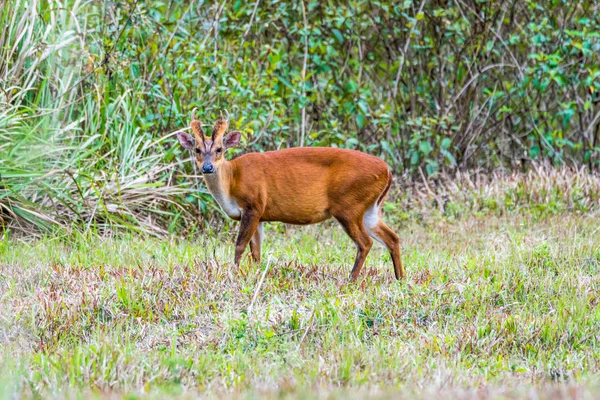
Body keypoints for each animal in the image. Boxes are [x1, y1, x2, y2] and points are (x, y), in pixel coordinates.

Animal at [176, 108, 406, 280]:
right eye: (197, 149)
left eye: (220, 149)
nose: (207, 168)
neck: (232, 180)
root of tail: (387, 171)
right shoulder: (259, 214)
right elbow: (256, 251)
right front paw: (256, 275)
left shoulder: (253, 205)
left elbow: (239, 245)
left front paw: (234, 274)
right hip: (370, 208)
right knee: (393, 237)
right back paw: (400, 278)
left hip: (348, 205)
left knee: (365, 243)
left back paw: (351, 279)